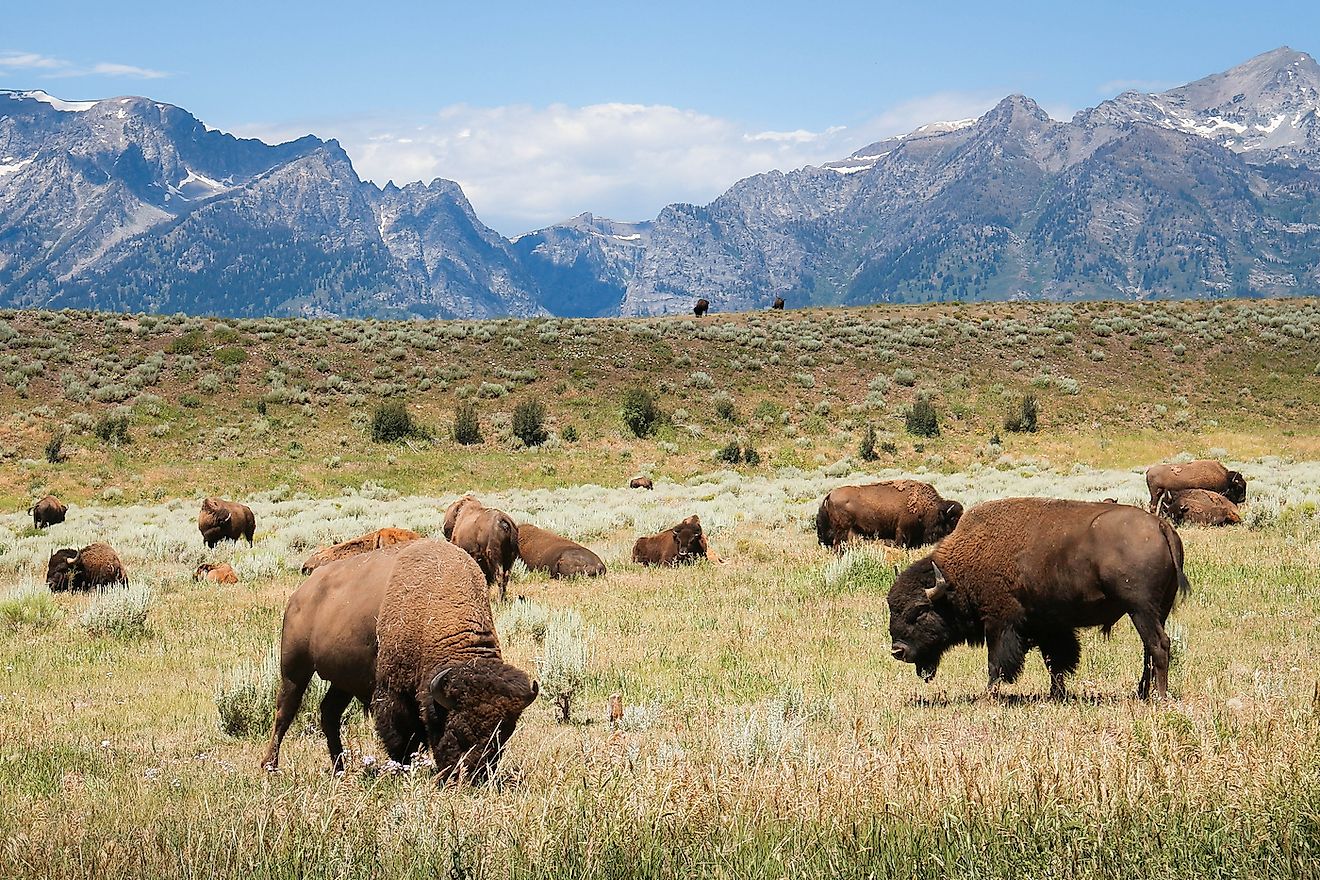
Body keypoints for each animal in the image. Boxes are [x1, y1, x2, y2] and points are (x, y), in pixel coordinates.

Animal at [262, 543, 535, 786]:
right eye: (458, 730)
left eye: (503, 736)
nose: (472, 777)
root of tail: (301, 593)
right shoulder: (392, 693)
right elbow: (400, 736)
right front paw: (402, 769)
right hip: (295, 669)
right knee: (284, 712)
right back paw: (270, 766)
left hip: (342, 682)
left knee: (329, 713)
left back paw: (339, 768)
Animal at [887, 498, 1188, 696]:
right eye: (893, 609)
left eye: (920, 611)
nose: (898, 651)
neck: (956, 575)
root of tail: (1161, 526)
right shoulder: (1048, 627)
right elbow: (1055, 661)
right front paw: (1057, 694)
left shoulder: (999, 624)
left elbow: (997, 663)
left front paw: (989, 695)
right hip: (1156, 610)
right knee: (1149, 649)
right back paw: (1142, 692)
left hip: (1140, 609)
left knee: (1158, 645)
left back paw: (1160, 697)